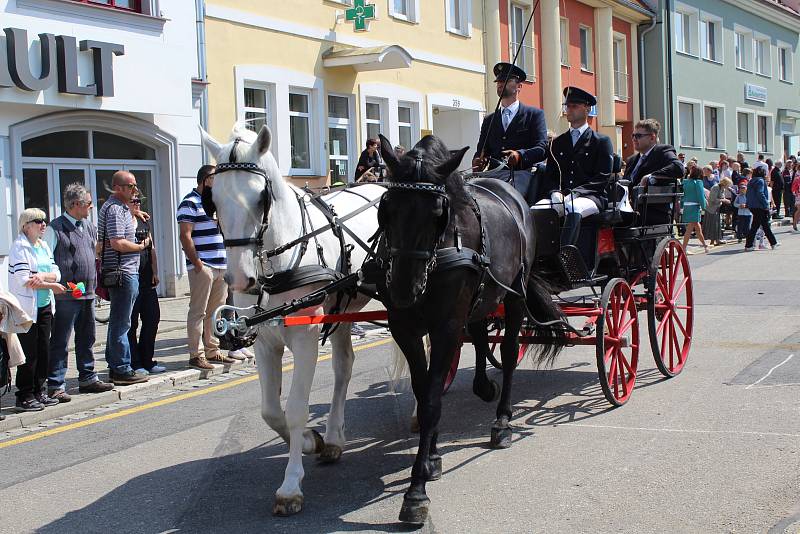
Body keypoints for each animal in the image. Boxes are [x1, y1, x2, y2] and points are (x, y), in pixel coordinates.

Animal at [202, 123, 386, 516]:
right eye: (215, 201)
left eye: (261, 198)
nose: (239, 279)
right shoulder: (263, 340)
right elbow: (271, 411)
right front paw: (310, 442)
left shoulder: (303, 337)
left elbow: (297, 408)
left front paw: (290, 486)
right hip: (342, 307)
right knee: (344, 367)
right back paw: (332, 437)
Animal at [378, 136, 564, 524]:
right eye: (385, 208)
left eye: (438, 213)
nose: (403, 290)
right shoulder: (405, 327)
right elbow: (424, 392)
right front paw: (431, 457)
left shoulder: (446, 326)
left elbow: (432, 400)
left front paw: (416, 491)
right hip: (483, 293)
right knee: (479, 331)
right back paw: (483, 385)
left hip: (515, 294)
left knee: (508, 350)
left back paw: (502, 422)